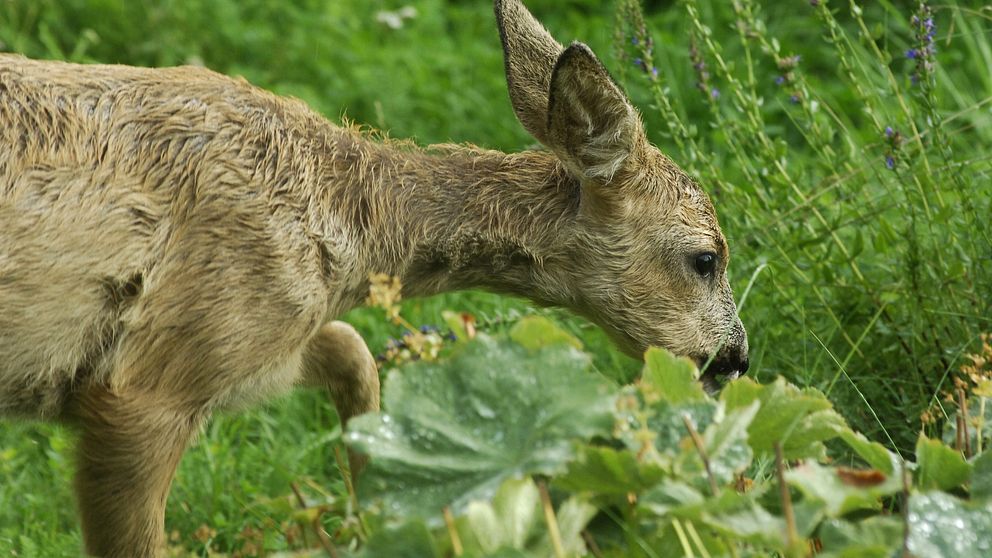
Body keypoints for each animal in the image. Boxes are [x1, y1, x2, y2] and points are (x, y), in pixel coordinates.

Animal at [0, 0, 744, 556]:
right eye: (706, 258)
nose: (734, 358)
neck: (344, 225)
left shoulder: (256, 349)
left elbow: (354, 352)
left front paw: (378, 511)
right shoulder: (153, 379)